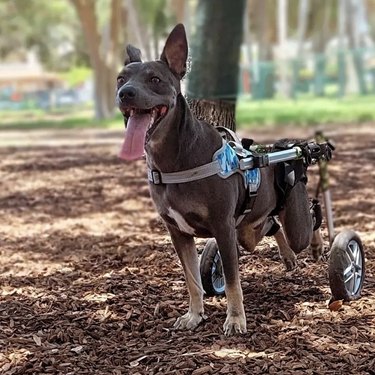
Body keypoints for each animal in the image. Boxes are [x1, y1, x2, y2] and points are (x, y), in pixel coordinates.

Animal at [116, 23, 324, 334]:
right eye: (120, 78)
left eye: (155, 79)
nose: (125, 93)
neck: (175, 158)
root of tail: (286, 151)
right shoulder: (178, 232)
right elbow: (192, 279)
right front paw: (194, 315)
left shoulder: (223, 227)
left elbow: (232, 280)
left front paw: (235, 319)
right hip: (248, 229)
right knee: (271, 225)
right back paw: (287, 256)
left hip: (292, 216)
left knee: (308, 219)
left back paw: (319, 243)